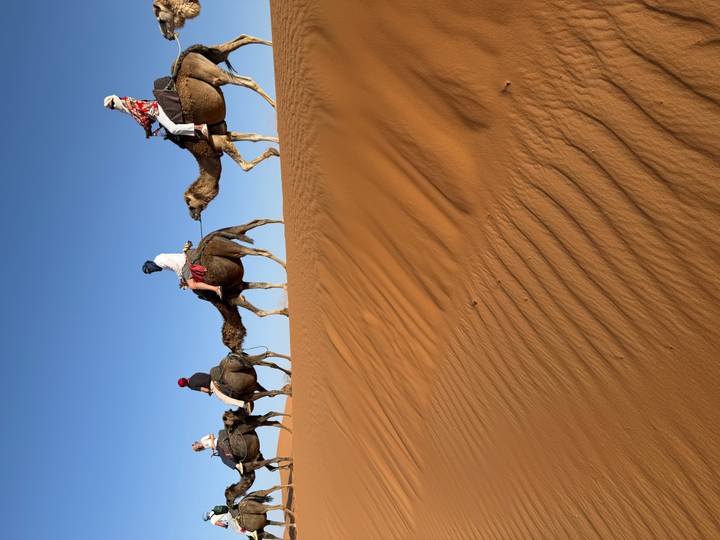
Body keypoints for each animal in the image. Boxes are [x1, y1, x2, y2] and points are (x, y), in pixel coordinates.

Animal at [170, 34, 279, 220]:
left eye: (189, 204)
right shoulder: (225, 133)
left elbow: (245, 166)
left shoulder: (219, 142)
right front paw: (278, 143)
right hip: (213, 57)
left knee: (247, 81)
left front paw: (274, 151)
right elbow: (254, 137)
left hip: (211, 72)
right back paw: (270, 44)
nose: (194, 216)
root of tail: (187, 55)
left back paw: (276, 104)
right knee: (239, 41)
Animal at [184, 219, 288, 352]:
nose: (237, 350)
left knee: (261, 251)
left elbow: (259, 313)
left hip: (233, 249)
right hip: (231, 243)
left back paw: (285, 265)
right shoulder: (240, 285)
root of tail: (210, 237)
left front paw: (286, 312)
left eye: (229, 339)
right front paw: (286, 287)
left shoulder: (232, 299)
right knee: (255, 229)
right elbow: (265, 285)